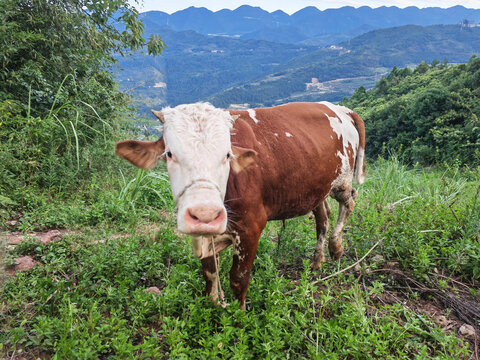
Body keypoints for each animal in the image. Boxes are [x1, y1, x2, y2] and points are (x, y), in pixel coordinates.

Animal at [115, 101, 364, 310]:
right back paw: (316, 261)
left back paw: (336, 247)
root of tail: (339, 107)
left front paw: (239, 313)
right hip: (316, 188)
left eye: (227, 155)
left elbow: (238, 278)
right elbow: (209, 271)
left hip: (341, 181)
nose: (204, 213)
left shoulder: (251, 227)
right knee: (322, 216)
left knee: (349, 201)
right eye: (169, 153)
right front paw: (213, 303)